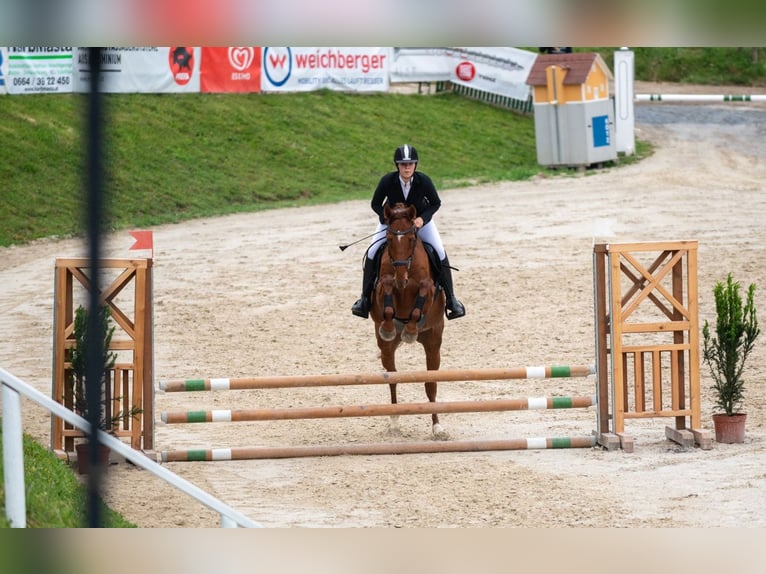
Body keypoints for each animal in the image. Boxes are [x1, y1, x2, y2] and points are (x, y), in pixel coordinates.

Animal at [368, 202, 448, 440]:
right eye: (389, 238)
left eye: (412, 238)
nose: (401, 275)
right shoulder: (381, 288)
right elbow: (386, 288)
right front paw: (389, 328)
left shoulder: (429, 290)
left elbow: (422, 291)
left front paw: (410, 331)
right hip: (387, 348)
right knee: (392, 378)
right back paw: (394, 422)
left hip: (433, 342)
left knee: (430, 383)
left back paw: (437, 427)